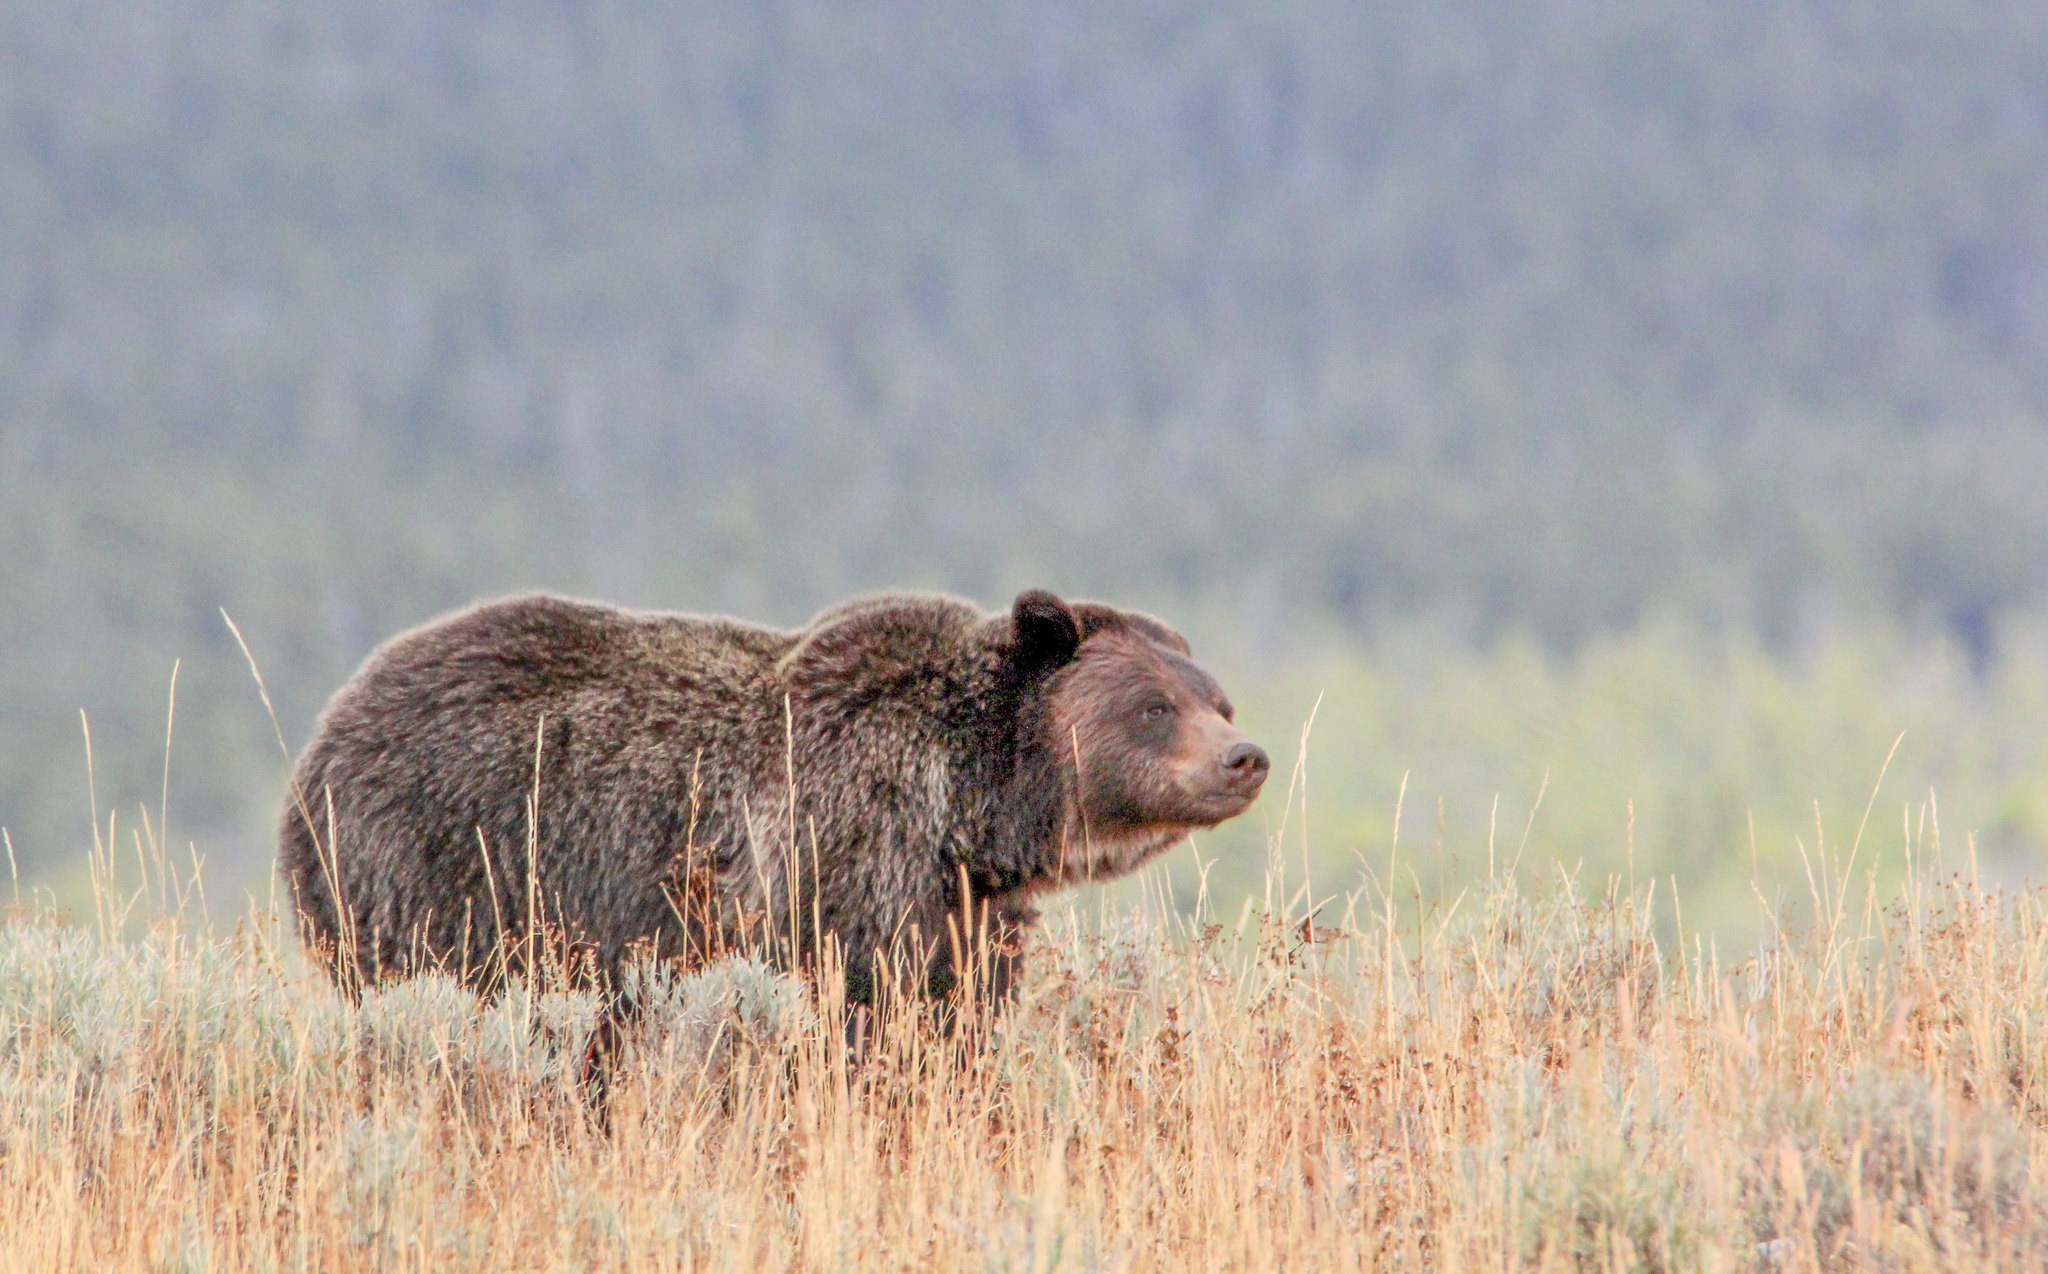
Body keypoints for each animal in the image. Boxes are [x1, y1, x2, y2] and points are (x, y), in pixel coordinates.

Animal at [277, 589, 1269, 1008]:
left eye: (1216, 699)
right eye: (1153, 707)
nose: (1245, 757)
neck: (968, 809)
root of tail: (327, 729)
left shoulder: (965, 902)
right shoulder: (843, 851)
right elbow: (866, 1000)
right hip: (438, 865)